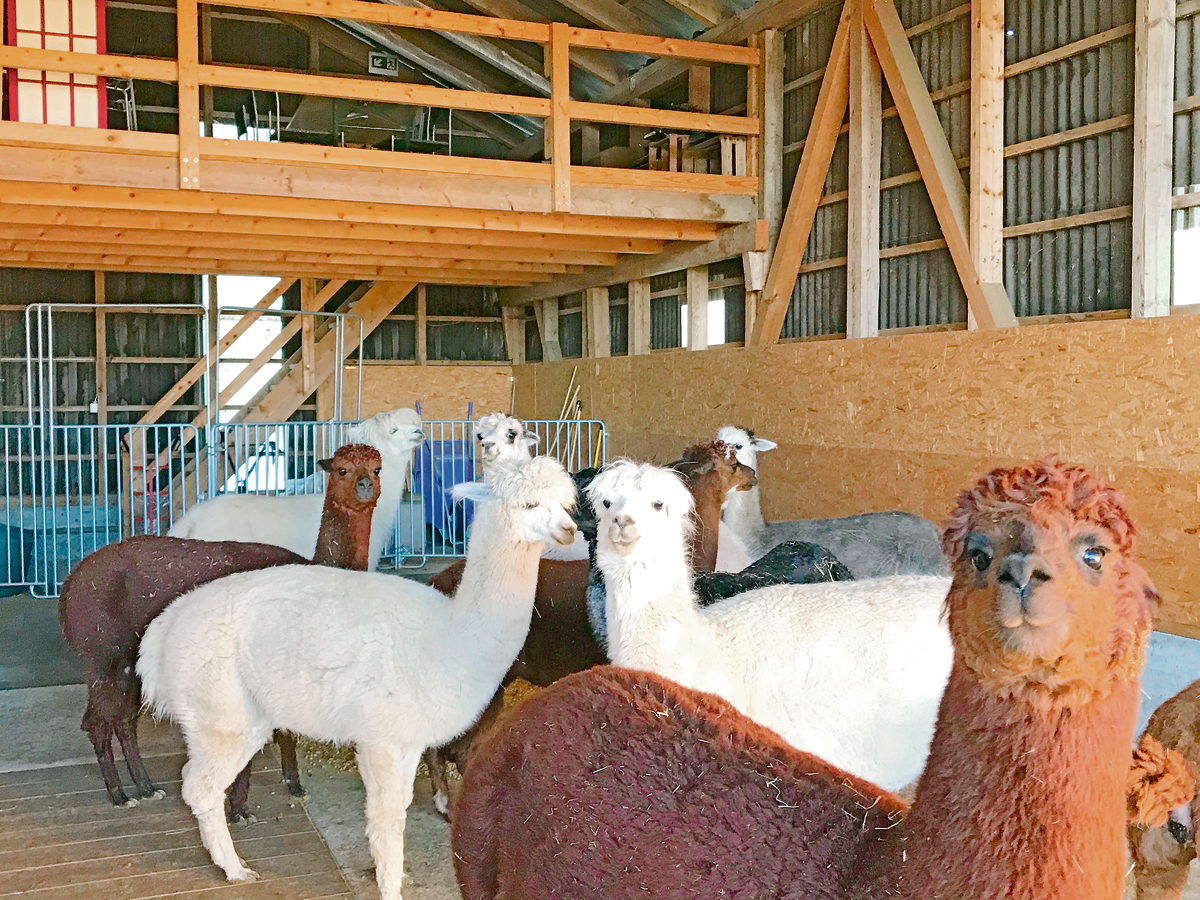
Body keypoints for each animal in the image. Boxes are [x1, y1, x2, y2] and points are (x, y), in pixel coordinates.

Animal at [59, 443, 382, 817]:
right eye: (342, 470)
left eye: (377, 468)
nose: (365, 486)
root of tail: (70, 585)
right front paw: (240, 807)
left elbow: (284, 729)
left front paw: (293, 786)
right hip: (101, 652)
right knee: (97, 722)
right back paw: (119, 794)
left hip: (127, 658)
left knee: (123, 721)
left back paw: (145, 786)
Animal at [136, 455, 578, 900]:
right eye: (527, 505)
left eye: (565, 503)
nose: (570, 530)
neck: (450, 636)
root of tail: (164, 628)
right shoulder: (380, 736)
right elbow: (386, 817)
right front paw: (390, 886)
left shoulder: (407, 738)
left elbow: (398, 808)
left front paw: (394, 874)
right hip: (220, 710)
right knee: (199, 786)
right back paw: (235, 869)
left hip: (242, 715)